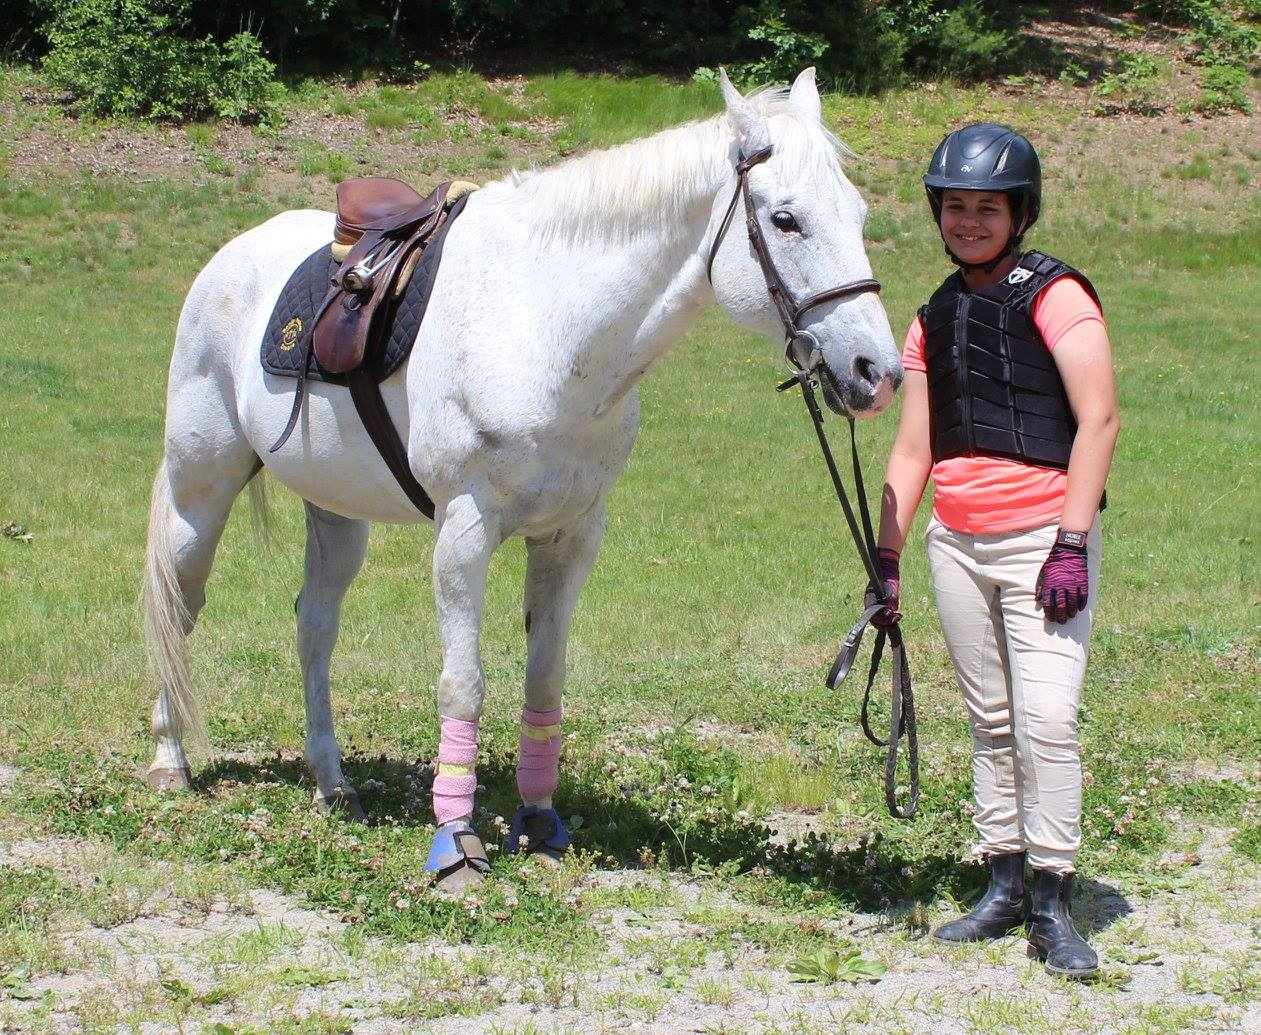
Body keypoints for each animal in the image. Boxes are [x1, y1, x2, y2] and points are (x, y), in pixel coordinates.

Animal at [141, 68, 903, 891]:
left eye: (858, 214)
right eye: (786, 219)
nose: (877, 372)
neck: (544, 320)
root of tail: (232, 256)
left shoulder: (572, 532)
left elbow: (544, 678)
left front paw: (538, 822)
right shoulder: (464, 529)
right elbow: (463, 683)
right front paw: (455, 841)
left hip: (336, 511)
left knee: (314, 626)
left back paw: (332, 781)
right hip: (199, 488)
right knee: (179, 608)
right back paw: (169, 762)